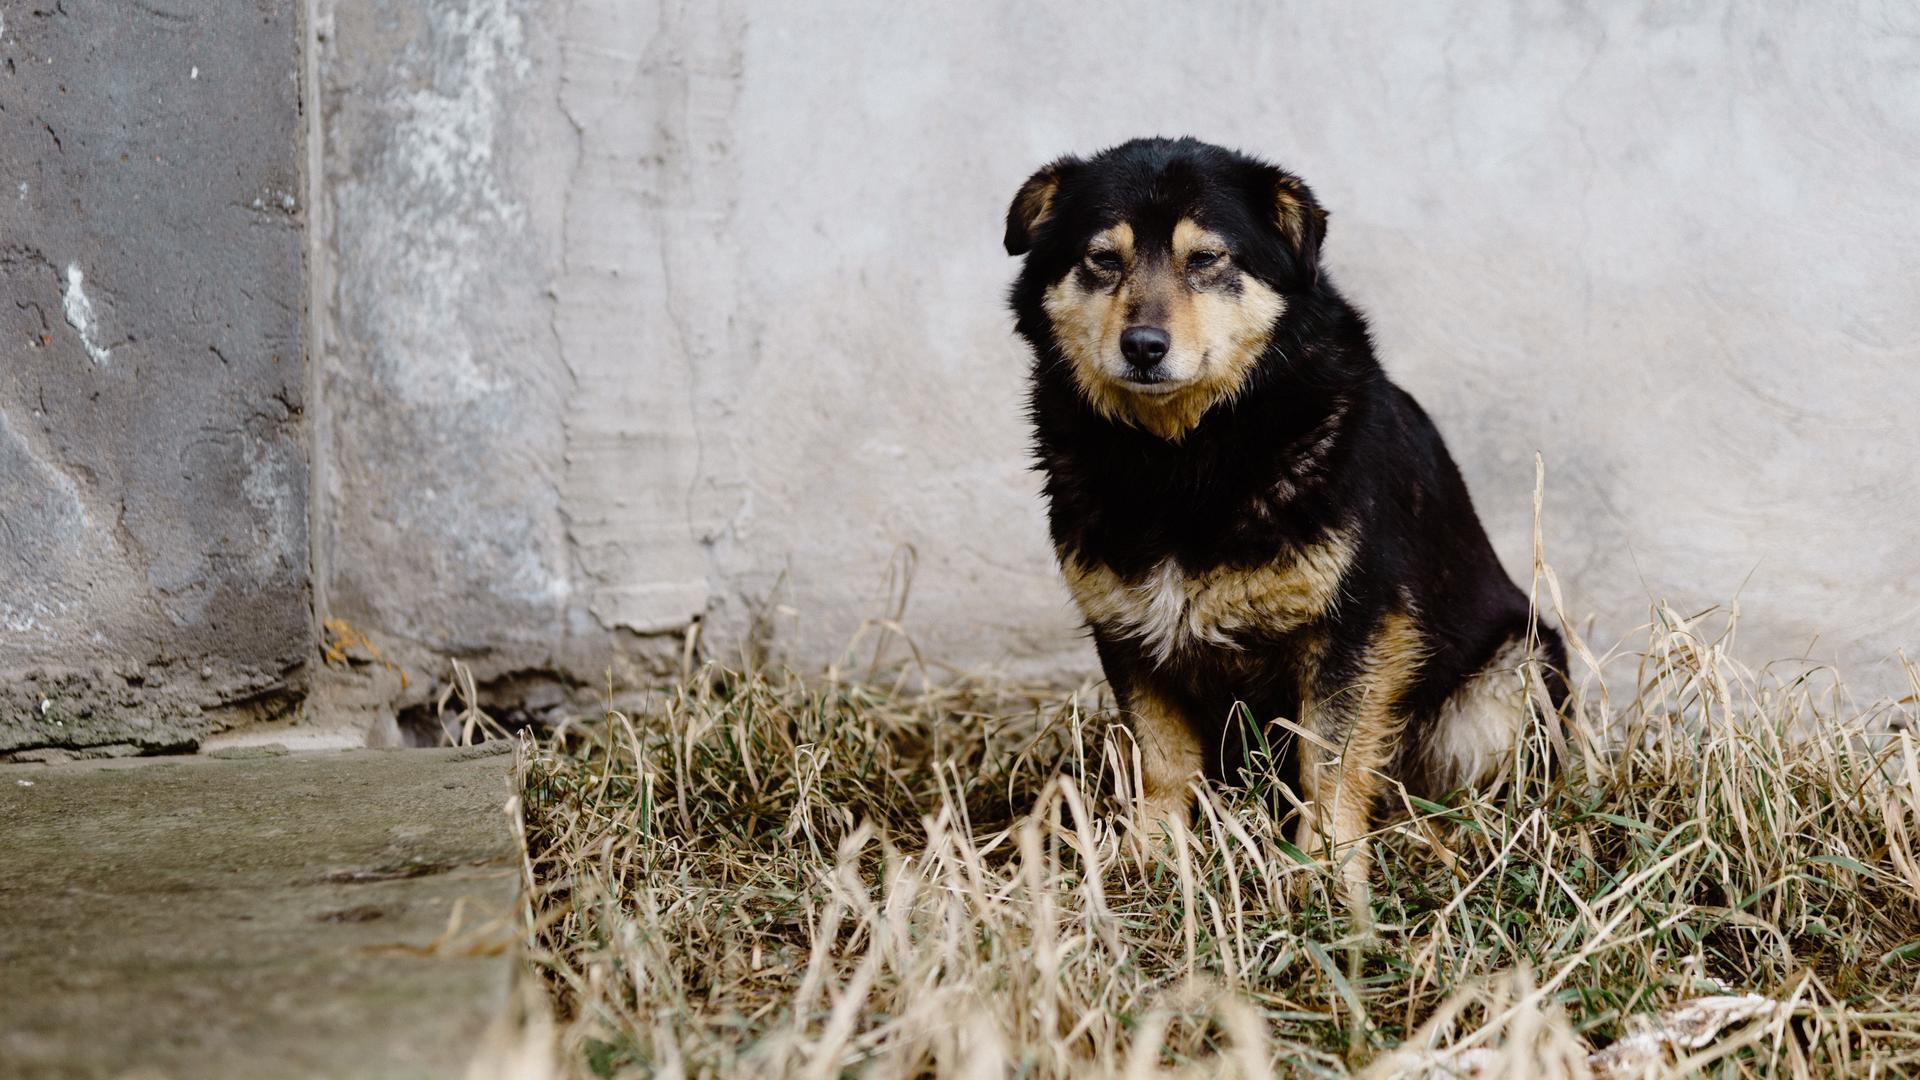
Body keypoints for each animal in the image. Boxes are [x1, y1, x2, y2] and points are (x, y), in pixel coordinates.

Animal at [1006, 136, 1559, 899]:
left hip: (1516, 671)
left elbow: (1329, 761)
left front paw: (1327, 871)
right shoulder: (1126, 626)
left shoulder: (1356, 625)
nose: (1143, 345)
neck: (1182, 457)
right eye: (1103, 259)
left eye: (1207, 259)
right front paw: (1154, 857)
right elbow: (1161, 758)